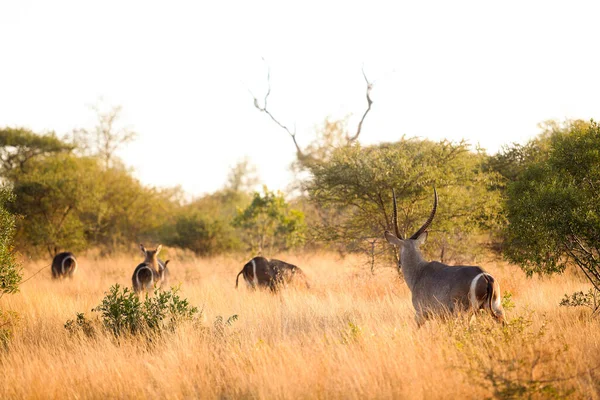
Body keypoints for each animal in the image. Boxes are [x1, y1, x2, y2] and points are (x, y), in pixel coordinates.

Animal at [382, 188, 504, 324]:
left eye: (399, 249)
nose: (399, 264)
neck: (419, 271)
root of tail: (483, 275)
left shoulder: (420, 314)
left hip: (464, 312)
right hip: (496, 309)